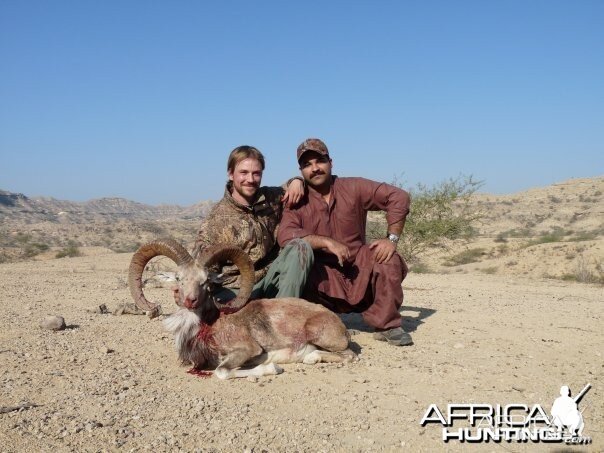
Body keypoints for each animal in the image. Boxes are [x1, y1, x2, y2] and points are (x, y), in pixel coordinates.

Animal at [127, 238, 354, 380]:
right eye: (178, 278)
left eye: (206, 281)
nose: (191, 300)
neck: (208, 327)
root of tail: (340, 325)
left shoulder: (247, 349)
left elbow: (221, 372)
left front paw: (272, 367)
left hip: (321, 336)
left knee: (347, 355)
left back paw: (309, 356)